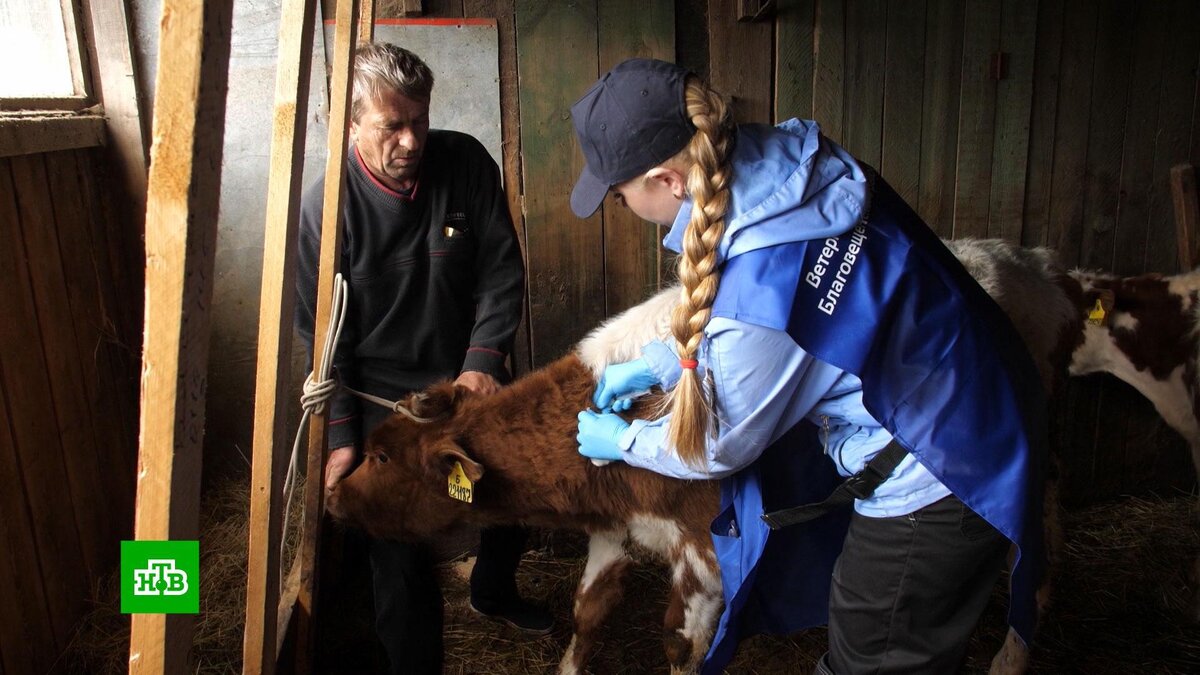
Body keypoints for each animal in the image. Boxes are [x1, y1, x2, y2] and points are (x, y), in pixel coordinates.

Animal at [324, 355, 715, 667]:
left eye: (382, 457)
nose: (333, 493)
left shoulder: (702, 545)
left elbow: (680, 645)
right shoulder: (615, 529)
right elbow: (586, 610)